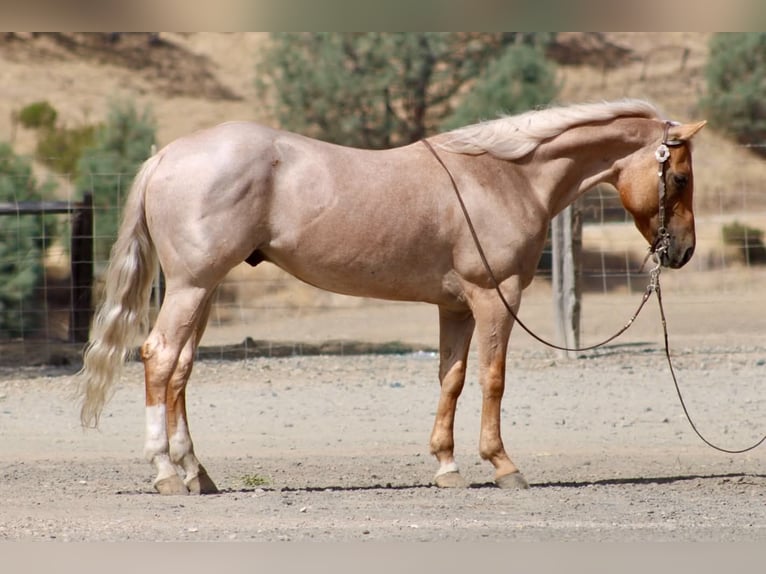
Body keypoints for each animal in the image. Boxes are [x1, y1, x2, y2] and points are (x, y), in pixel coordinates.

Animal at [77, 99, 705, 494]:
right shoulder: (494, 297)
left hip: (201, 291)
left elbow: (451, 378)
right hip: (192, 287)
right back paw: (165, 472)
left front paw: (447, 467)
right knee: (159, 357)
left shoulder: (456, 306)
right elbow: (493, 378)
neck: (504, 177)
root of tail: (167, 155)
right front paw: (502, 465)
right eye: (680, 178)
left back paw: (196, 474)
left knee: (180, 368)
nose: (682, 252)